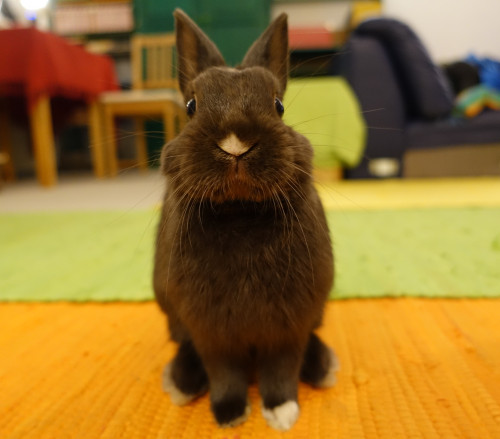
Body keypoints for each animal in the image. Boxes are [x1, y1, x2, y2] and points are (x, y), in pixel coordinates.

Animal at [154, 8, 338, 432]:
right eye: (191, 105)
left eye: (279, 106)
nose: (235, 143)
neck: (239, 211)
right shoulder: (209, 329)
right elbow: (224, 372)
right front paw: (229, 413)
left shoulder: (289, 324)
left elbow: (281, 369)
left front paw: (282, 412)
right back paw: (182, 382)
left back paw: (321, 367)